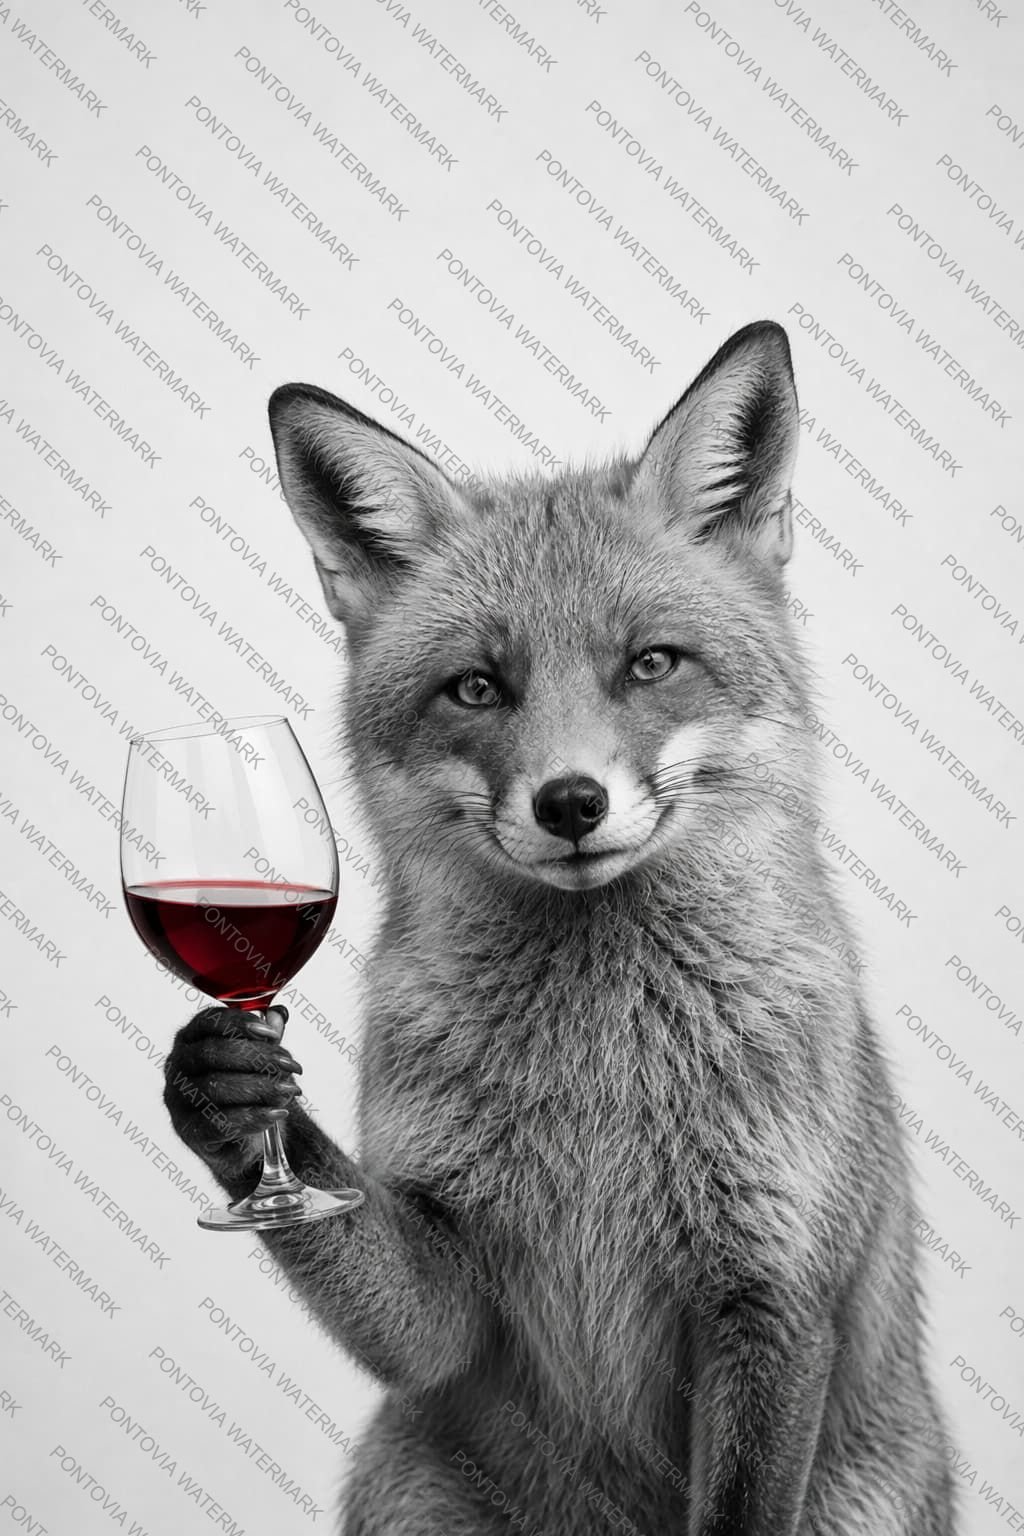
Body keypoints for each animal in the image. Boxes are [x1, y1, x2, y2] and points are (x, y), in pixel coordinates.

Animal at [164, 320, 956, 1535]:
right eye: (477, 688)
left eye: (651, 663)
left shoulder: (771, 1288)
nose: (571, 802)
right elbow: (393, 1289)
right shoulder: (451, 1295)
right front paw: (230, 1099)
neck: (601, 1076)